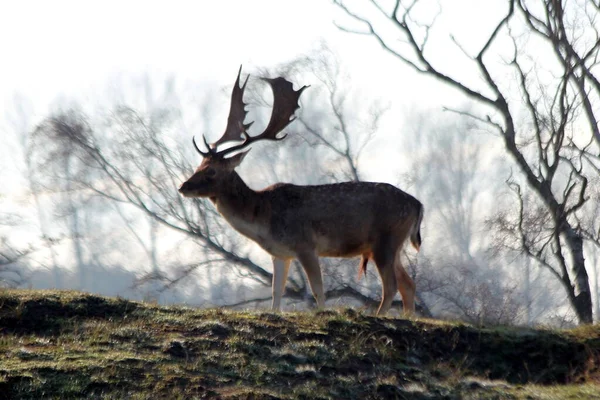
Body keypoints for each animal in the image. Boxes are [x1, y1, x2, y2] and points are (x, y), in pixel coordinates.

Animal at [177, 68, 422, 316]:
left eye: (212, 171)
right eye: (199, 166)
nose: (183, 187)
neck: (263, 216)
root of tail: (418, 205)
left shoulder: (305, 244)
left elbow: (317, 289)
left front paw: (322, 312)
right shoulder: (279, 253)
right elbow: (276, 292)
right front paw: (275, 312)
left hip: (386, 239)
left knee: (391, 286)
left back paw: (380, 315)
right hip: (391, 246)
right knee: (408, 285)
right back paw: (406, 317)